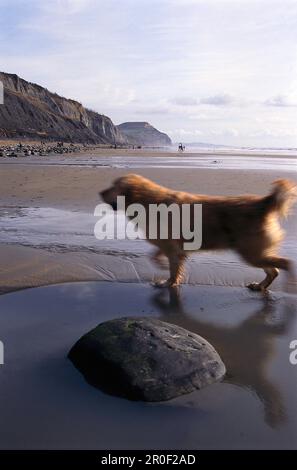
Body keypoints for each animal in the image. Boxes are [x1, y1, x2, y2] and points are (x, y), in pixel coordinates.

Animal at [100, 174, 296, 292]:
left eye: (113, 186)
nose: (100, 192)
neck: (147, 200)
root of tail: (264, 202)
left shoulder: (172, 249)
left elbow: (172, 269)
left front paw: (168, 282)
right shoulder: (169, 246)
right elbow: (154, 257)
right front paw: (163, 268)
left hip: (251, 253)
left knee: (285, 264)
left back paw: (288, 283)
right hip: (255, 252)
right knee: (273, 271)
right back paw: (260, 286)